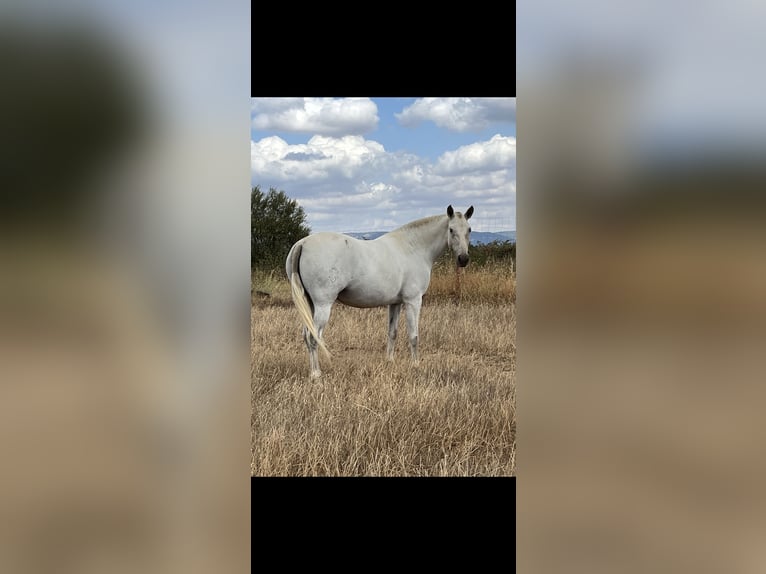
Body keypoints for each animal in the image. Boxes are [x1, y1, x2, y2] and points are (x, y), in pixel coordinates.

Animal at [286, 205, 474, 380]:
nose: (463, 259)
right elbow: (414, 336)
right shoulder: (413, 301)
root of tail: (302, 244)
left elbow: (392, 332)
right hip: (323, 305)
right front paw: (416, 365)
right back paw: (316, 374)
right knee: (313, 337)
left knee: (307, 336)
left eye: (469, 229)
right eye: (451, 230)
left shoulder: (395, 303)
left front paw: (389, 361)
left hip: (310, 304)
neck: (413, 247)